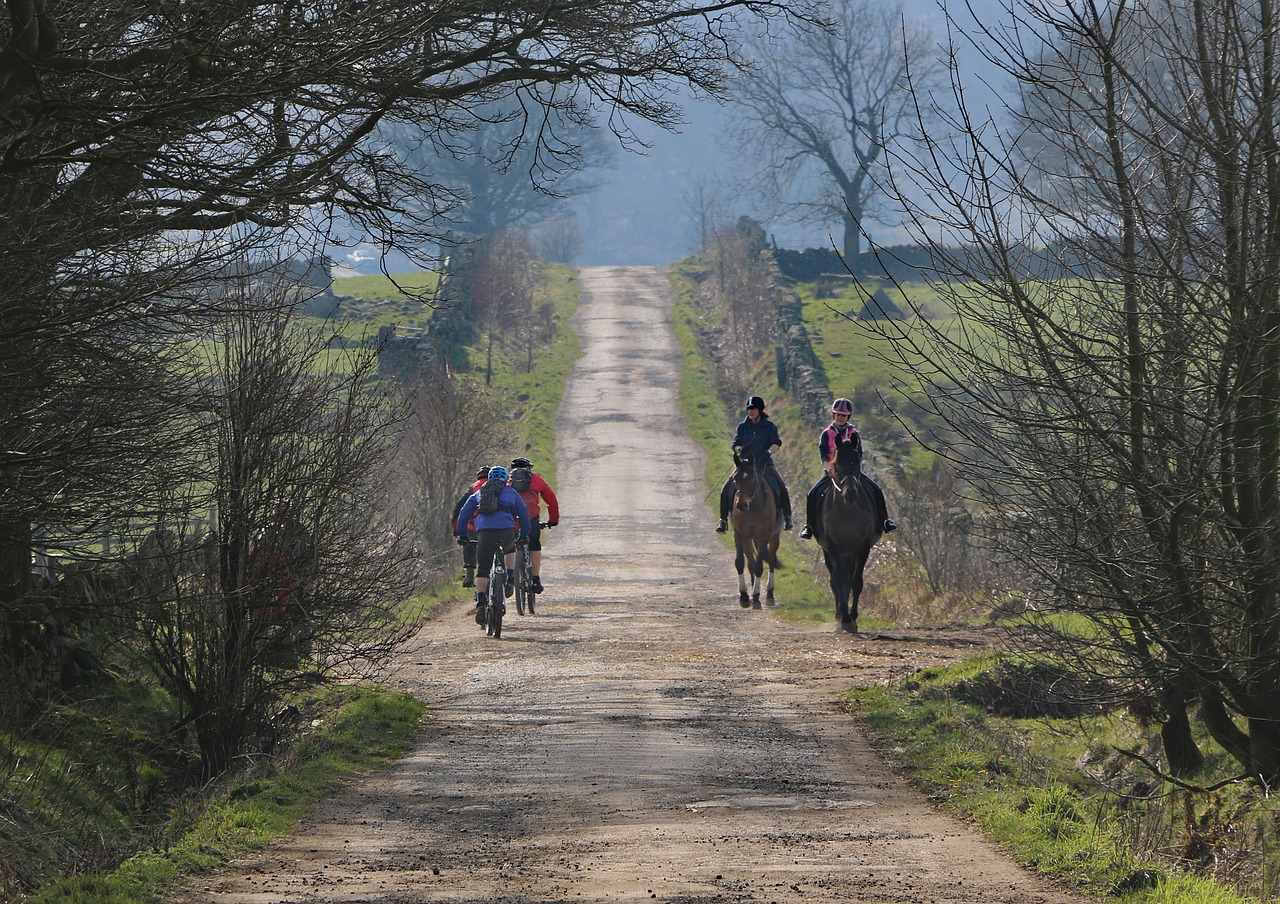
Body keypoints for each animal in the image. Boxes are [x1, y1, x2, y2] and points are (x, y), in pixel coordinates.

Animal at [732, 448, 778, 609]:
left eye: (751, 478)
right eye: (735, 478)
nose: (741, 505)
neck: (752, 508)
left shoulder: (764, 536)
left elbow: (759, 566)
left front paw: (757, 597)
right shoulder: (739, 534)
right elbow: (740, 562)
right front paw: (745, 596)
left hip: (774, 536)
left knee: (771, 559)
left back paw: (769, 595)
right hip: (748, 539)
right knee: (751, 562)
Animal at [814, 432, 885, 629]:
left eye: (857, 462)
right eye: (837, 464)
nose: (850, 494)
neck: (847, 510)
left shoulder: (862, 547)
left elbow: (856, 582)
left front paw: (852, 617)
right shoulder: (833, 547)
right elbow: (839, 581)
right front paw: (844, 617)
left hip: (850, 554)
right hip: (830, 552)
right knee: (835, 581)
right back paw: (839, 614)